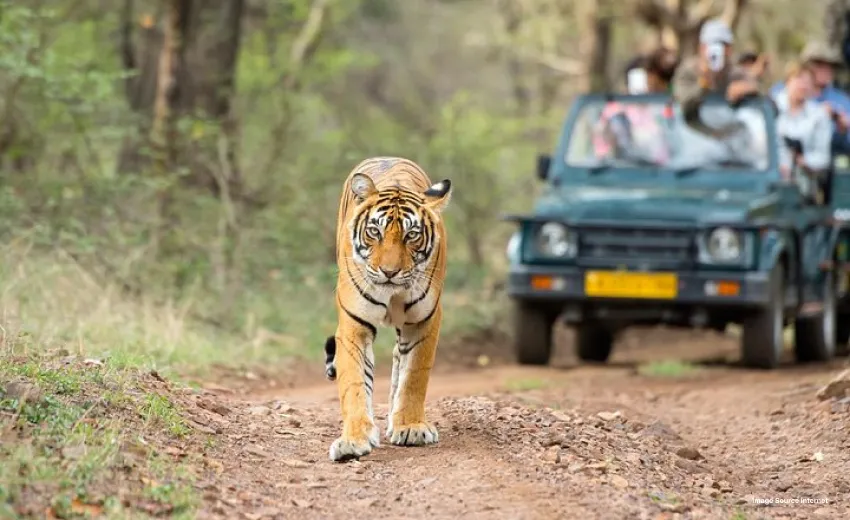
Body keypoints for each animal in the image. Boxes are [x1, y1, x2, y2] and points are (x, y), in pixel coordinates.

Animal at [323, 156, 452, 462]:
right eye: (374, 232)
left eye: (412, 235)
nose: (389, 272)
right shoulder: (353, 325)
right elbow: (354, 383)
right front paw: (353, 440)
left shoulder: (424, 321)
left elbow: (414, 375)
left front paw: (410, 426)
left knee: (398, 360)